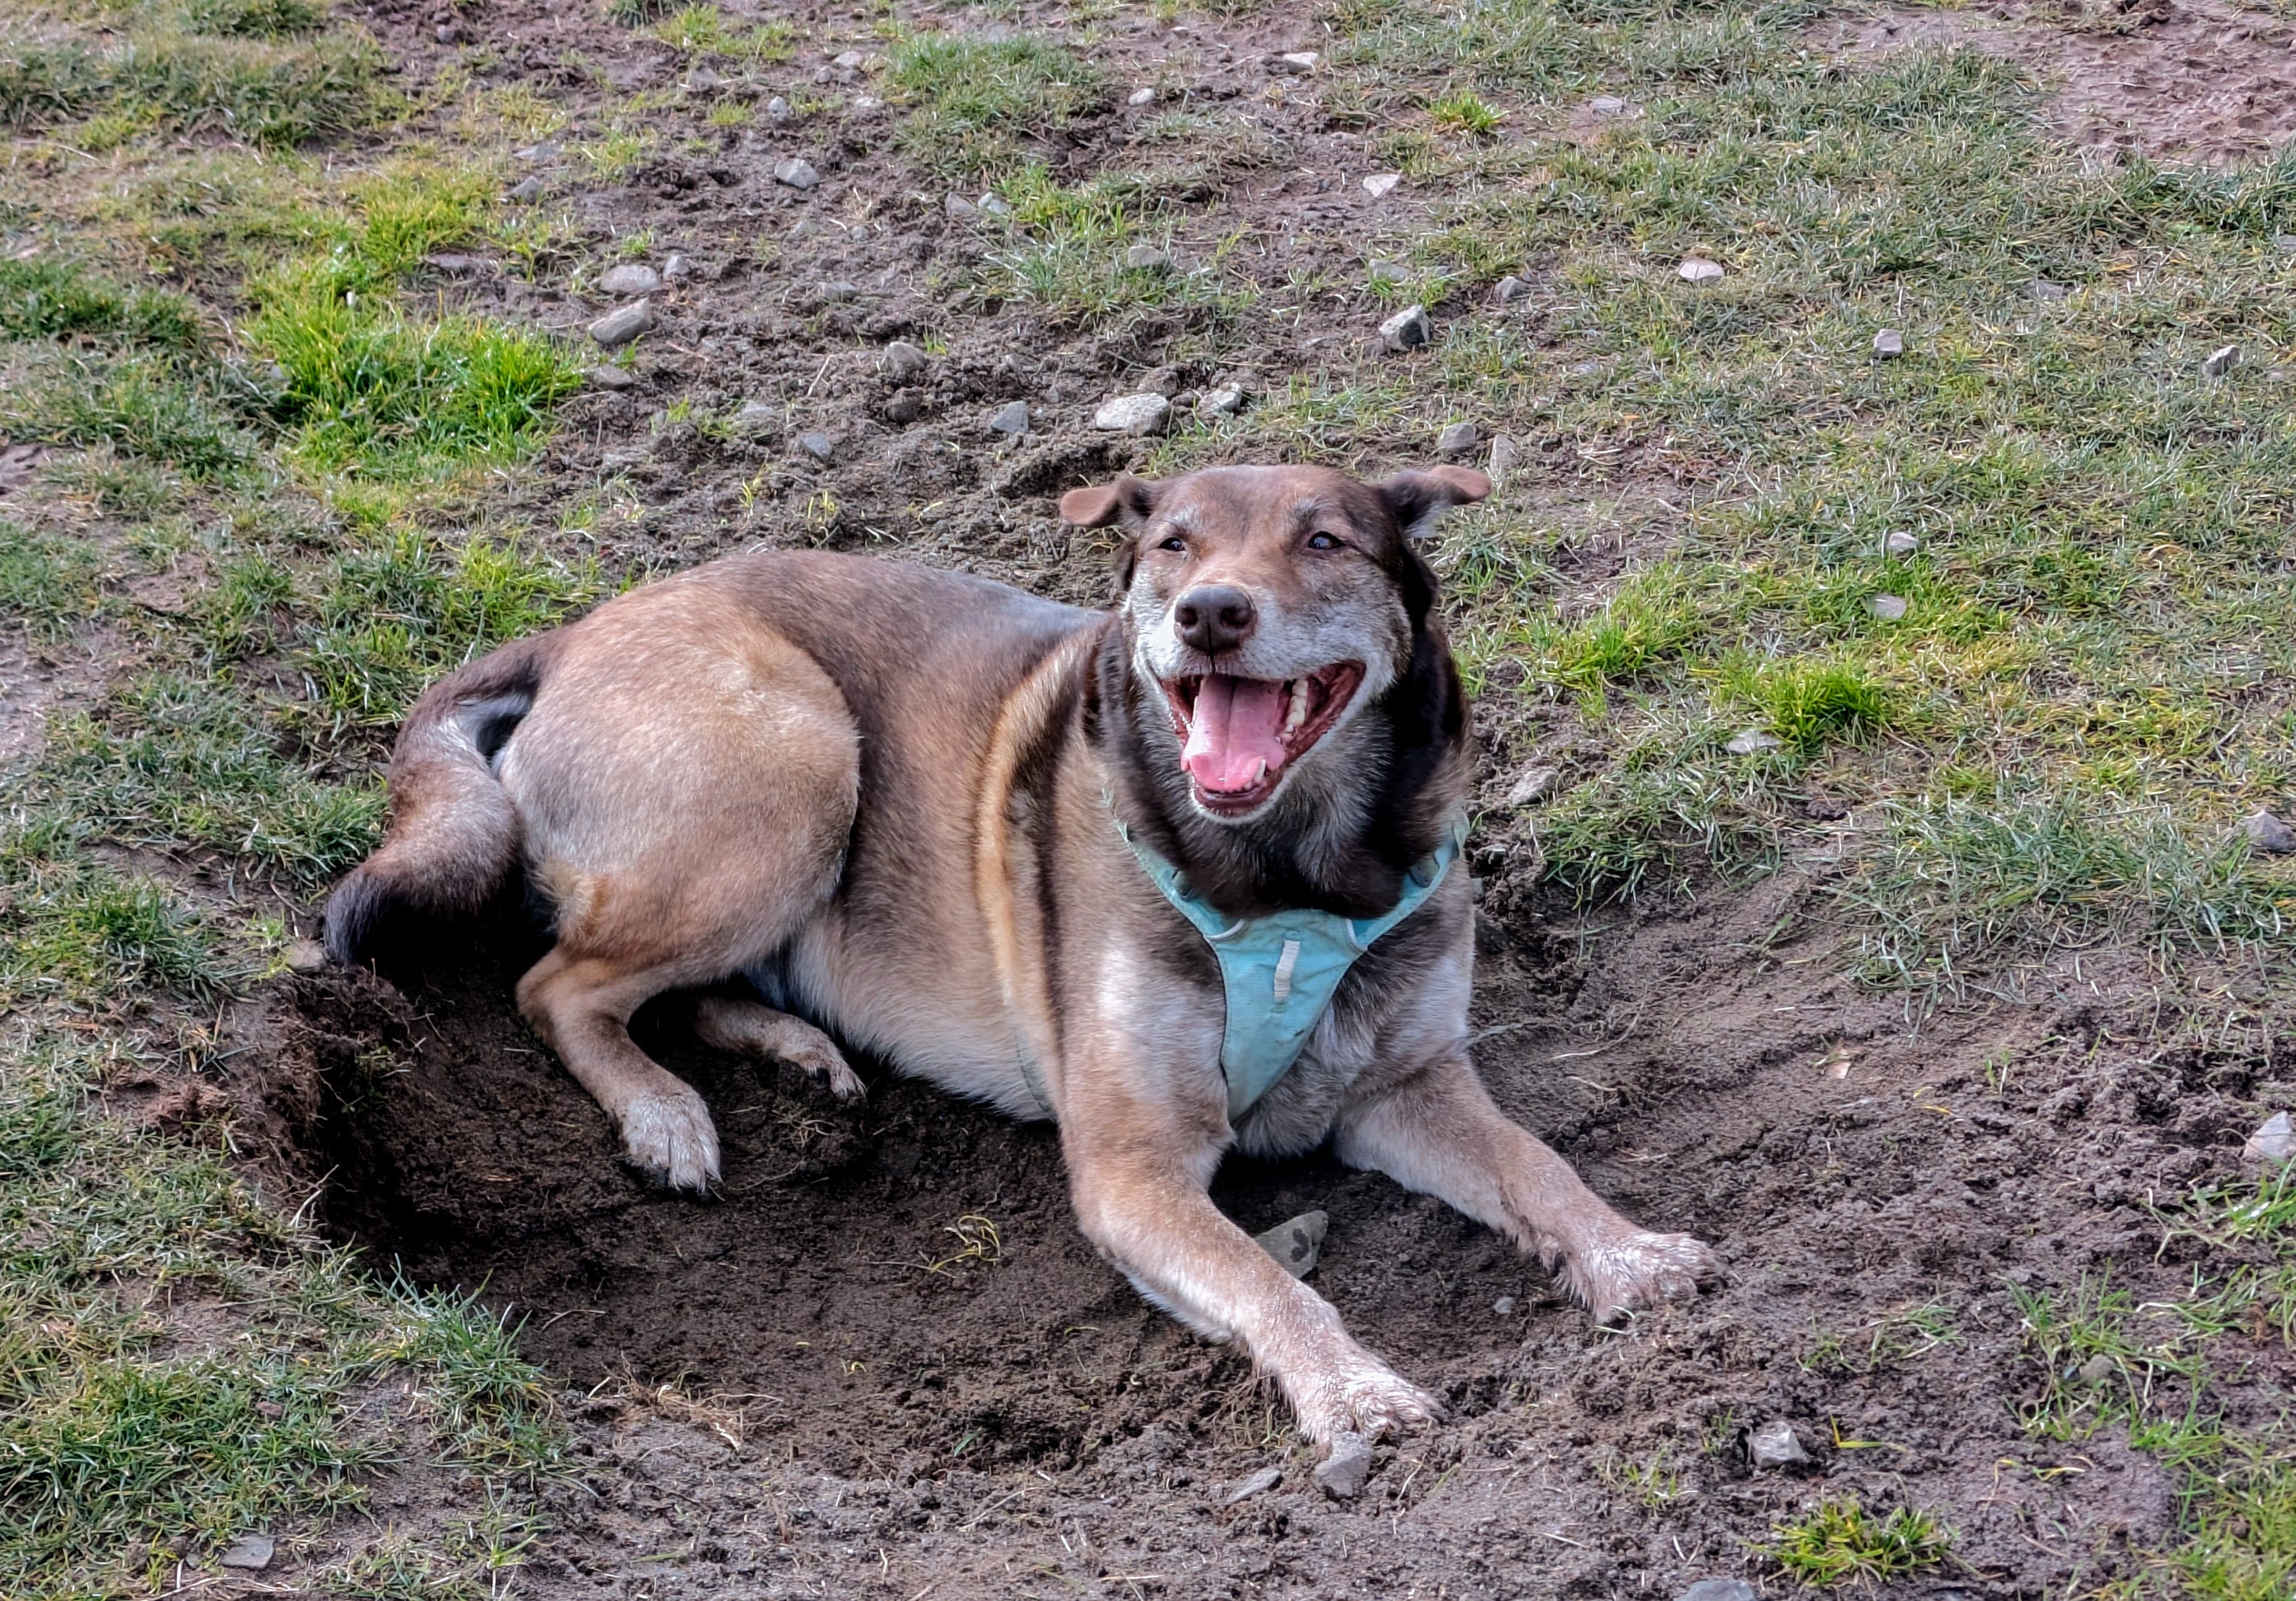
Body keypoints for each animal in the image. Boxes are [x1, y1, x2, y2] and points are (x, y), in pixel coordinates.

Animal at [332, 461, 1717, 1451]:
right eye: (1173, 547)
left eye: (1324, 540)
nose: (1210, 616)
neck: (1287, 878)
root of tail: (569, 634)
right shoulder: (1134, 1168)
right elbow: (1271, 1283)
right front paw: (1354, 1393)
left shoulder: (1405, 1085)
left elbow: (1535, 1164)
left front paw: (1628, 1253)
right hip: (794, 766)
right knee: (556, 983)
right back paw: (663, 1110)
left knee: (662, 985)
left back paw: (789, 1043)